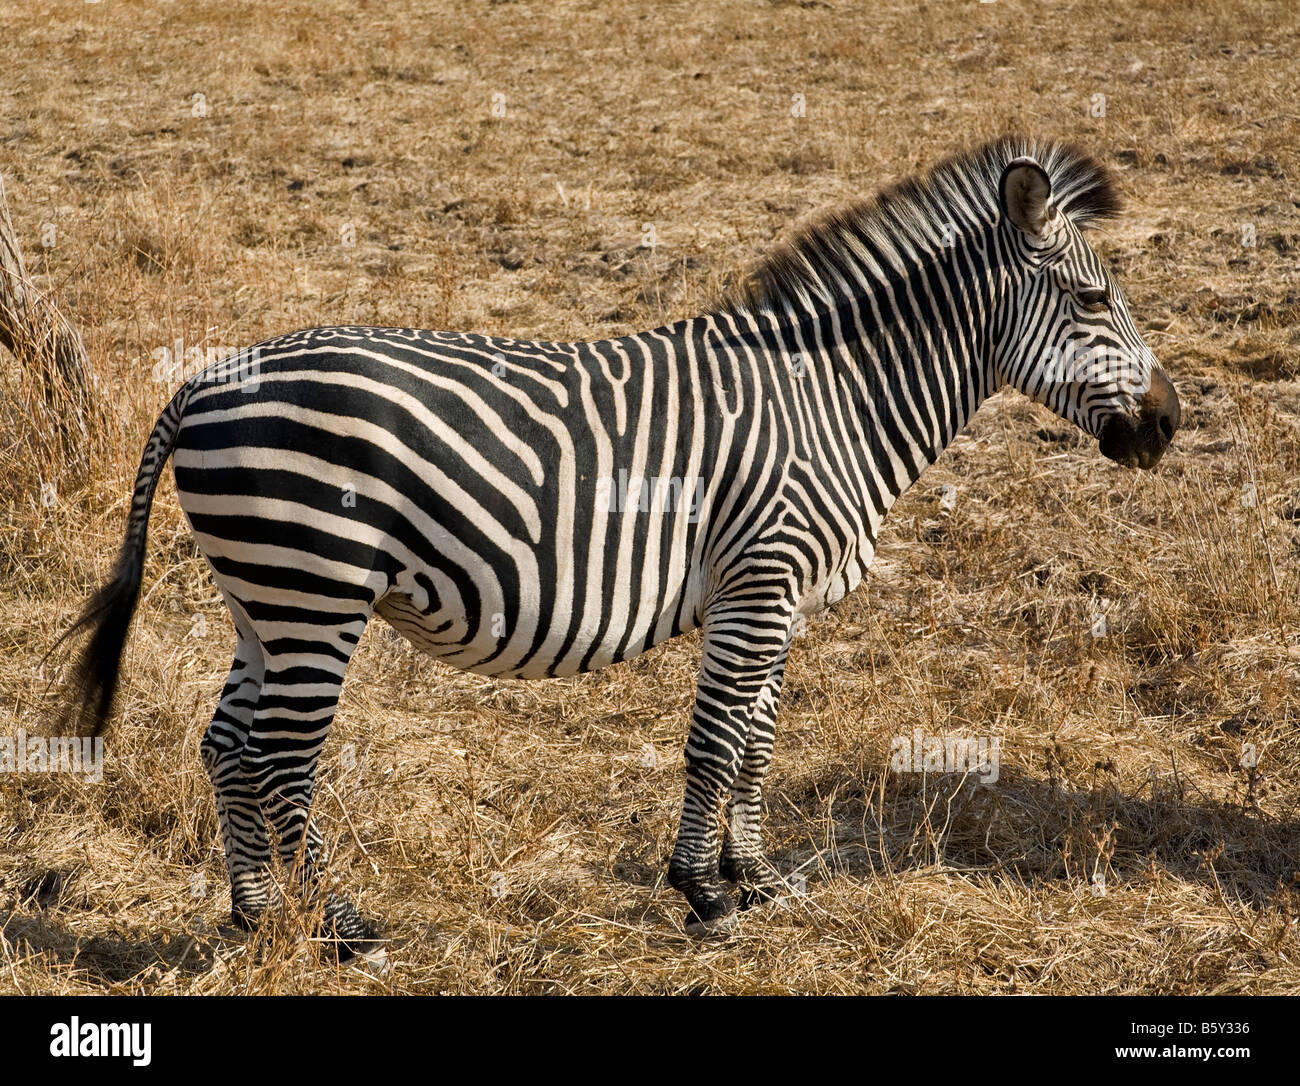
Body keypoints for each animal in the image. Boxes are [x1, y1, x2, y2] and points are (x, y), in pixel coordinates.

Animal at [57, 137, 1179, 955]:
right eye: (1092, 300)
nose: (1167, 427)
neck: (833, 400)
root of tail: (207, 378)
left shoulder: (774, 598)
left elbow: (759, 740)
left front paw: (755, 881)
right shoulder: (761, 579)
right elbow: (716, 740)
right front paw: (702, 895)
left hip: (263, 595)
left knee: (228, 745)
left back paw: (254, 919)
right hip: (314, 585)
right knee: (280, 757)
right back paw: (343, 930)